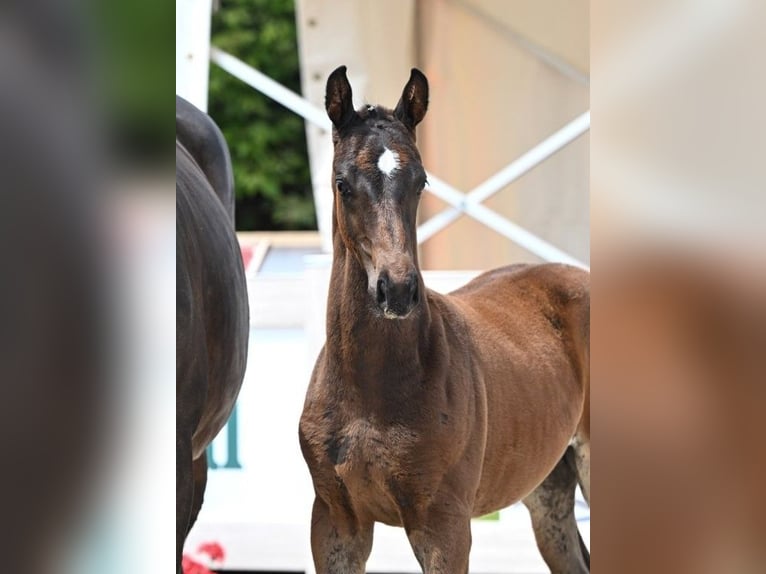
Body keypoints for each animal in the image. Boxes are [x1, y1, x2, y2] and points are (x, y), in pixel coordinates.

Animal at [298, 67, 590, 573]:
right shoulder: (335, 522)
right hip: (549, 489)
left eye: (421, 182)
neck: (369, 387)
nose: (396, 289)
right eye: (341, 183)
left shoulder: (443, 527)